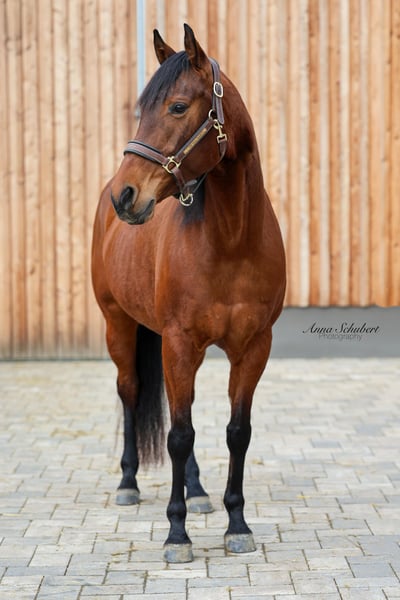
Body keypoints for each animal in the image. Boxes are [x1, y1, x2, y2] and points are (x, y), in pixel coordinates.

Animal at [91, 24, 286, 563]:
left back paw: (198, 493)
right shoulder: (178, 343)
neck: (233, 239)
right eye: (141, 108)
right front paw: (176, 534)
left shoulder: (253, 348)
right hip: (119, 326)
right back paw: (129, 484)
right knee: (130, 392)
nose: (125, 196)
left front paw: (236, 524)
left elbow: (236, 433)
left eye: (178, 107)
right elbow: (178, 435)